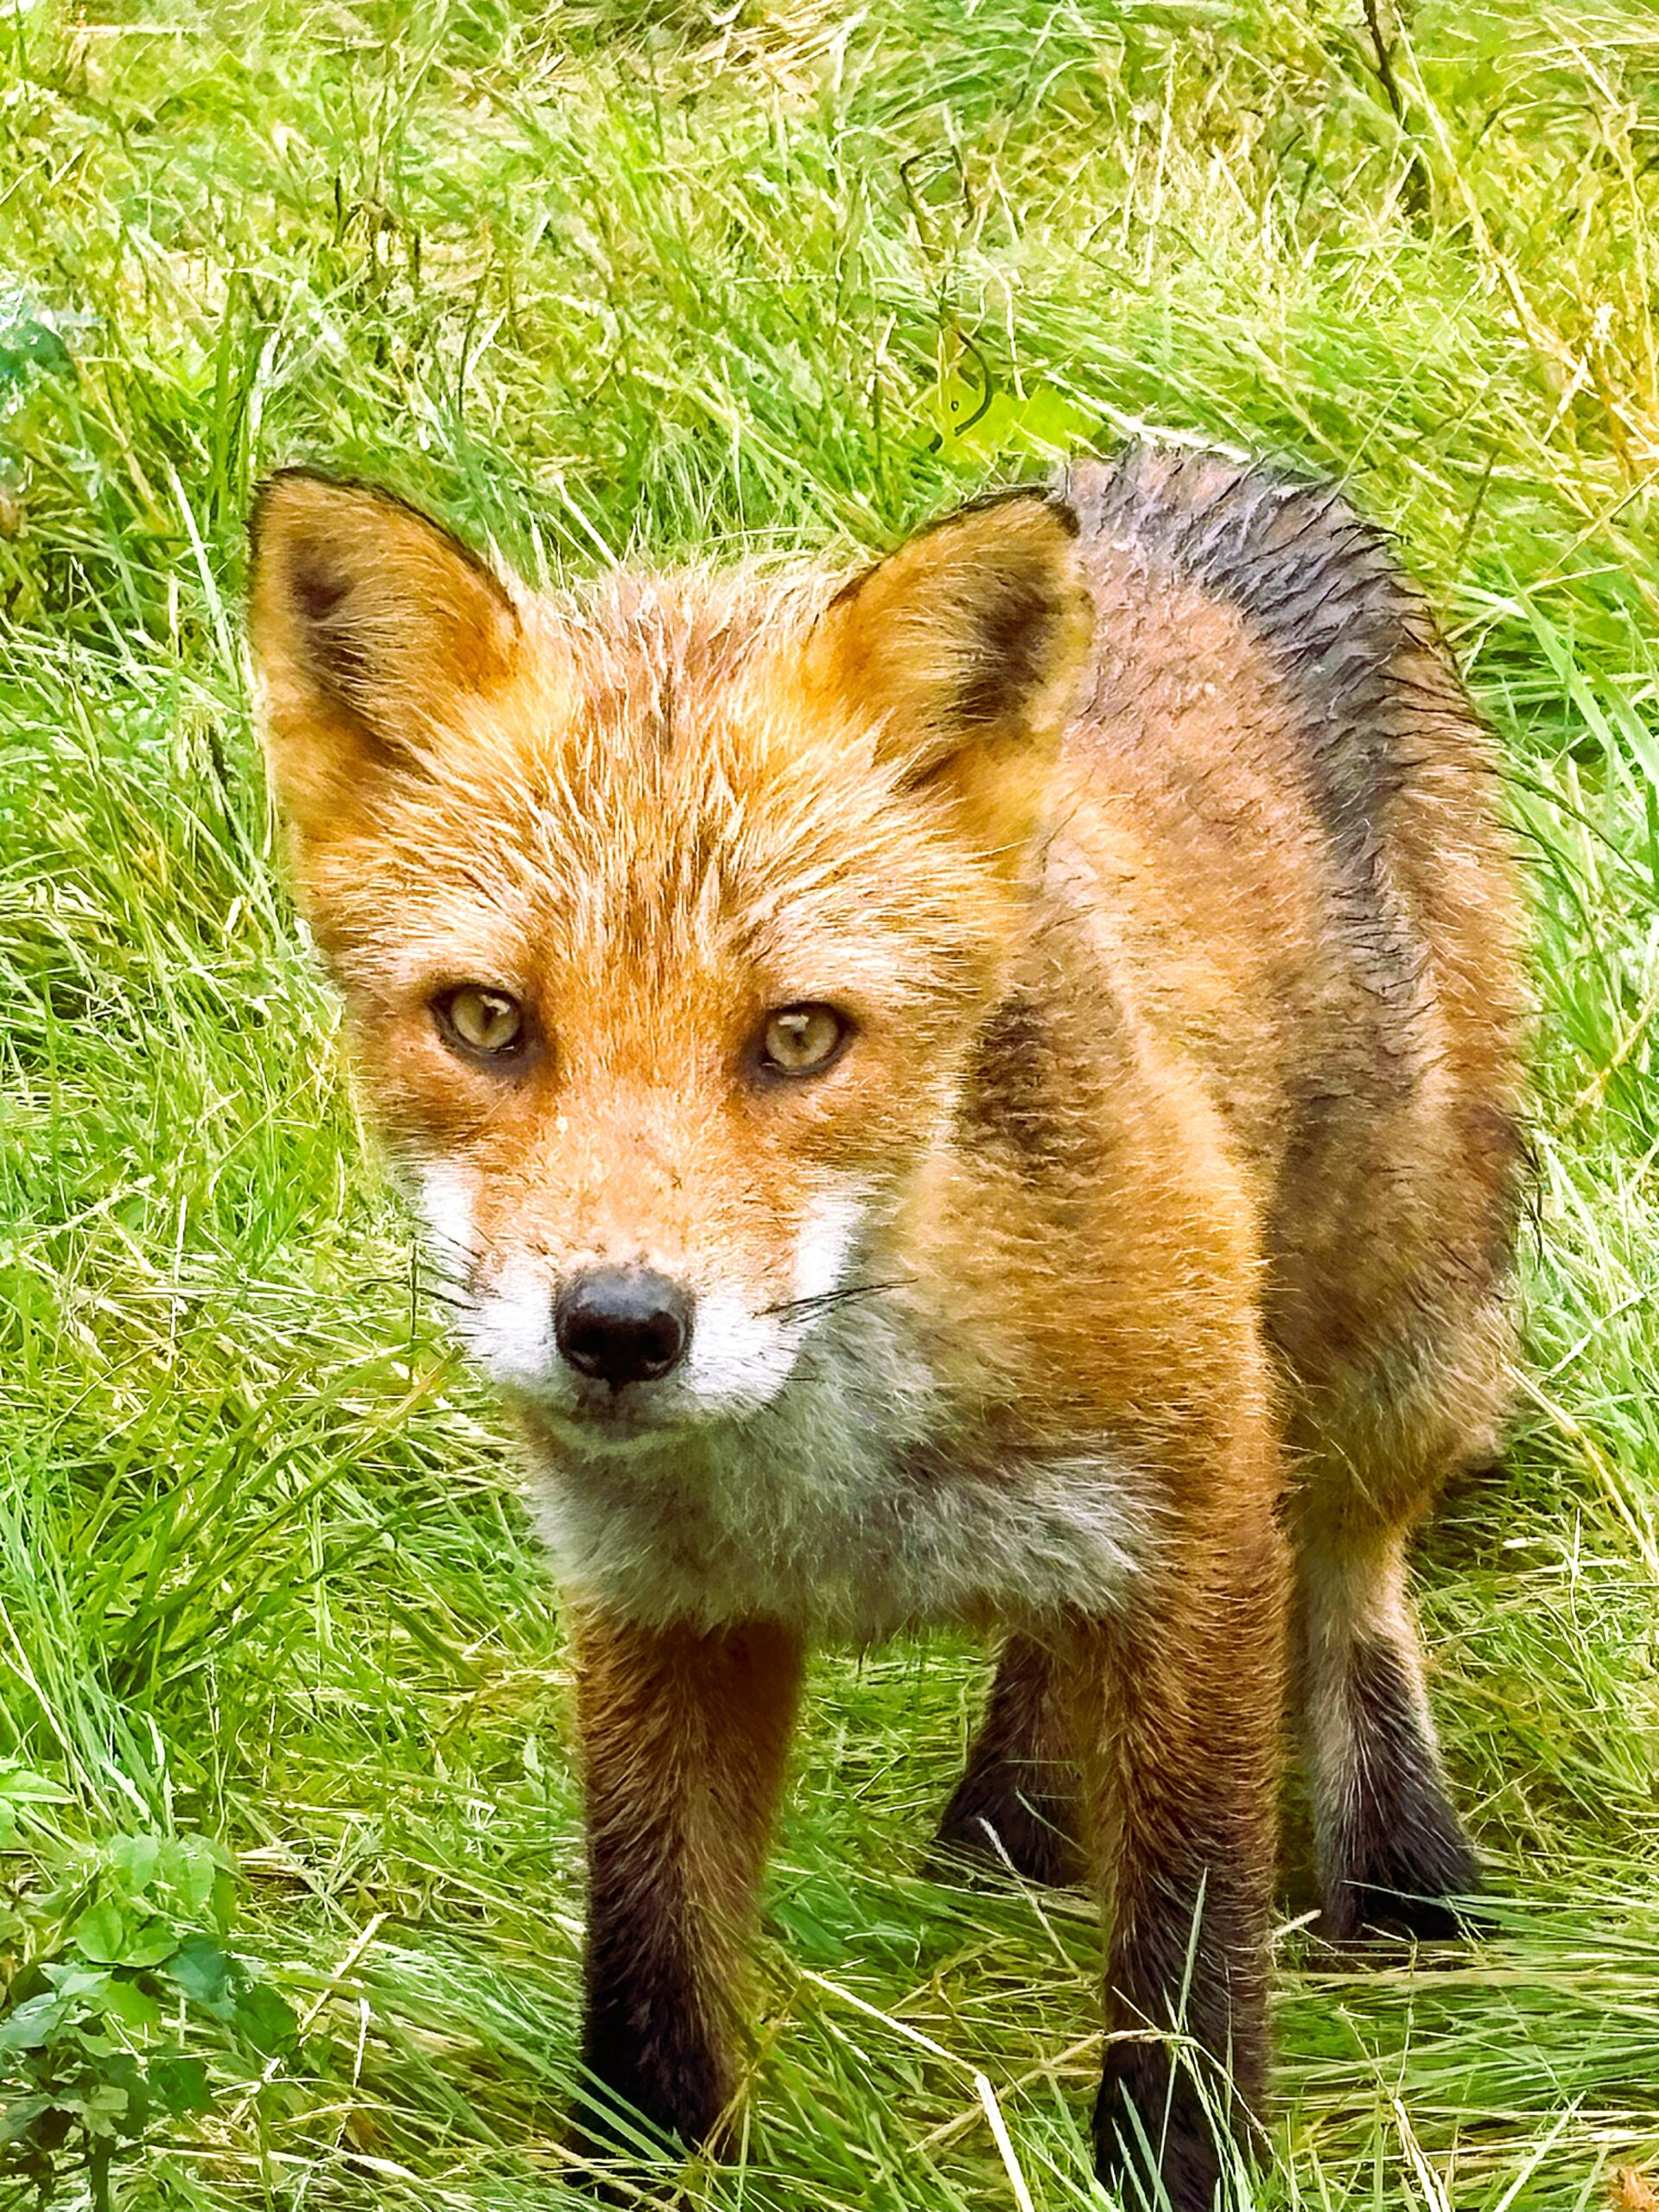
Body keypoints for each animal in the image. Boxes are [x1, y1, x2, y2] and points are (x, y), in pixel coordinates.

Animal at [247, 443, 1524, 2210]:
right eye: (487, 1021)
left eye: (800, 1038)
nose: (620, 1330)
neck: (828, 1486)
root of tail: (1207, 461)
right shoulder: (657, 1606)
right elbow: (649, 1976)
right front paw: (646, 2169)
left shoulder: (1204, 1518)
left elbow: (1188, 1956)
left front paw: (1179, 2164)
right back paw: (1016, 1815)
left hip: (1395, 1340)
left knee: (1356, 1570)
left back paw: (1403, 1865)